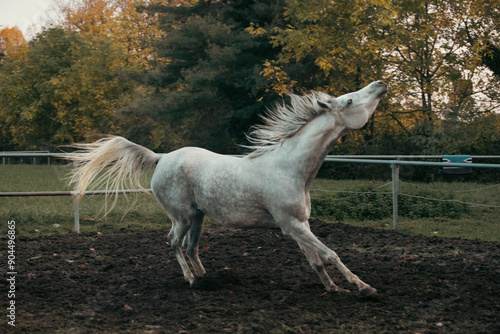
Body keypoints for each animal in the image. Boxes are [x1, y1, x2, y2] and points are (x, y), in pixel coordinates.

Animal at [65, 81, 386, 298]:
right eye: (349, 101)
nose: (380, 84)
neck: (290, 168)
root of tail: (161, 158)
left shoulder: (299, 225)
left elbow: (316, 260)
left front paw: (333, 288)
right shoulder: (292, 225)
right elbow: (330, 254)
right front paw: (364, 287)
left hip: (198, 217)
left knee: (191, 247)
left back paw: (208, 278)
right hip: (182, 217)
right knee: (174, 242)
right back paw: (192, 281)